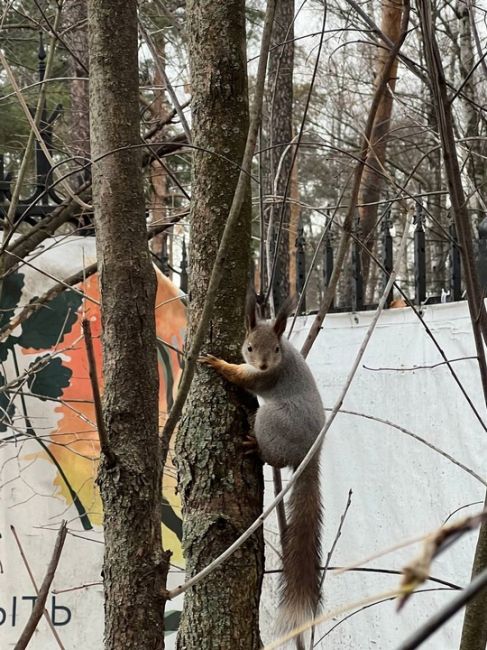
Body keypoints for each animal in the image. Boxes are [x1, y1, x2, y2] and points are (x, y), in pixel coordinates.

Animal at [198, 292, 324, 644]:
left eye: (276, 349)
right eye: (250, 346)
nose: (265, 363)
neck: (285, 351)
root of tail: (311, 451)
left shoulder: (266, 377)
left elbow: (242, 376)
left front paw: (218, 364)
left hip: (272, 420)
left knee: (275, 458)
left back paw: (254, 446)